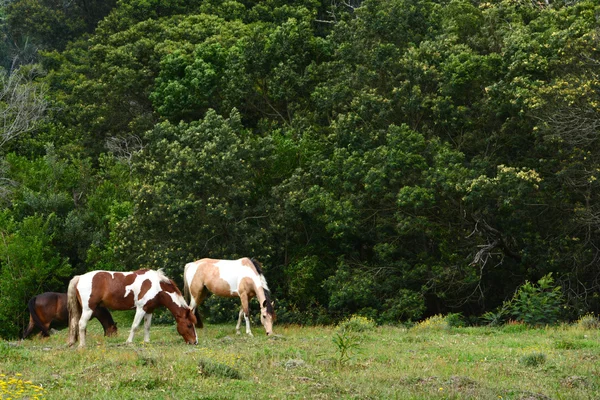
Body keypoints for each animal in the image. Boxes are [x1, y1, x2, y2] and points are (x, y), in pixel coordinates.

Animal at [66, 268, 197, 346]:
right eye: (189, 325)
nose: (195, 342)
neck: (157, 286)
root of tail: (79, 277)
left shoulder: (149, 310)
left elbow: (147, 326)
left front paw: (146, 342)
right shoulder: (141, 308)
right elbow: (135, 326)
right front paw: (129, 342)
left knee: (76, 324)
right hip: (88, 309)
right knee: (81, 324)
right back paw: (82, 345)